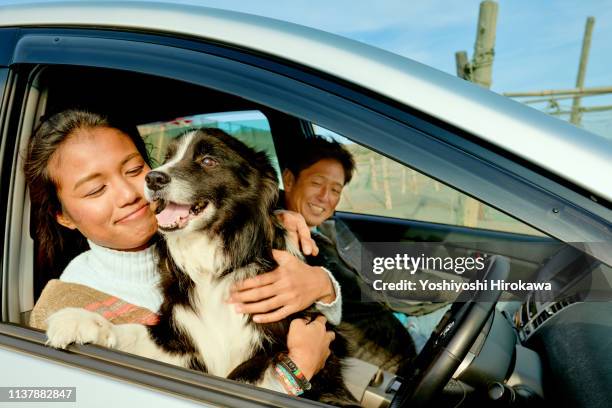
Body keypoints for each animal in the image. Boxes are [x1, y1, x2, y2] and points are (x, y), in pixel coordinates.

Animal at [46, 127, 354, 404]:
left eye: (208, 161)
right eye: (167, 158)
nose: (152, 178)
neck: (214, 260)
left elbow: (245, 377)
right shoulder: (184, 339)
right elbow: (134, 331)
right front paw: (81, 321)